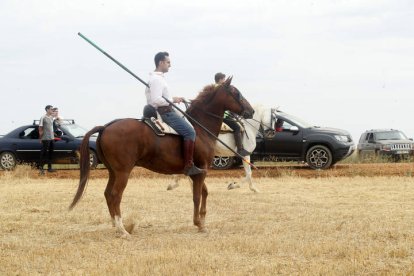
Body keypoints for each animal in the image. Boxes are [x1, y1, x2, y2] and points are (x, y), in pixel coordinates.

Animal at [69, 77, 254, 237]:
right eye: (236, 93)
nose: (251, 111)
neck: (200, 129)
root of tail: (106, 126)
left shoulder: (198, 172)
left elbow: (205, 192)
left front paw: (202, 221)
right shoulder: (201, 170)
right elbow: (196, 196)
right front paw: (198, 224)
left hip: (113, 172)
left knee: (108, 194)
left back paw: (115, 225)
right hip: (123, 172)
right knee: (115, 195)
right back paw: (123, 230)